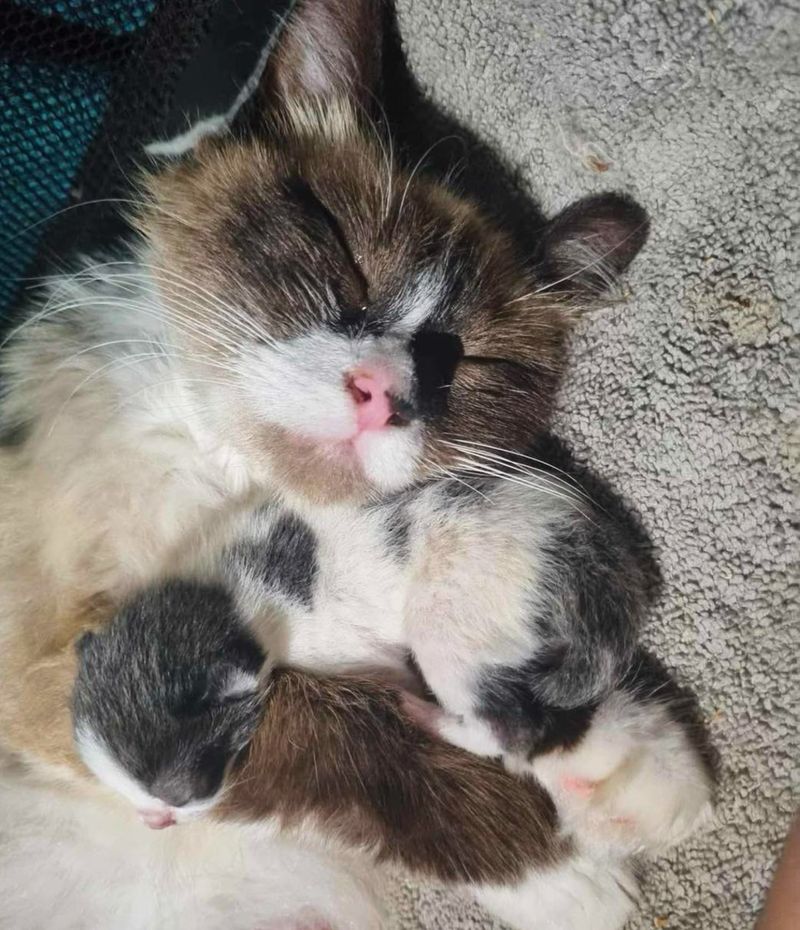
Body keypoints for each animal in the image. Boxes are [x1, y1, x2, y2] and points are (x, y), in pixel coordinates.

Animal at [0, 1, 712, 928]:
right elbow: (344, 730)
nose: (381, 394)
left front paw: (628, 765)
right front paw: (563, 873)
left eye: (473, 360)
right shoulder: (52, 666)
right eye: (338, 255)